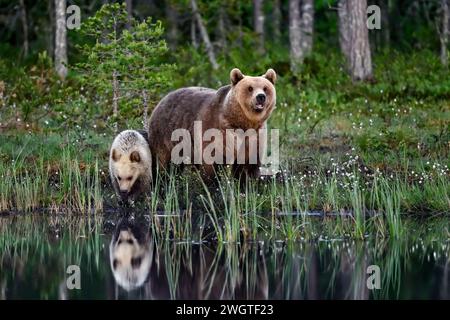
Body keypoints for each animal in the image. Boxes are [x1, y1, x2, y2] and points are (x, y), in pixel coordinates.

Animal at [148, 68, 276, 180]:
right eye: (250, 88)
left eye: (265, 88)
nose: (260, 97)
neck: (241, 122)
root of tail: (162, 99)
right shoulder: (216, 128)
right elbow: (212, 160)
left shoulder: (255, 135)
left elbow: (247, 164)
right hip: (166, 134)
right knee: (165, 162)